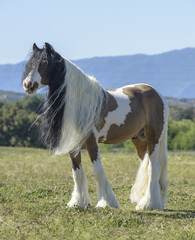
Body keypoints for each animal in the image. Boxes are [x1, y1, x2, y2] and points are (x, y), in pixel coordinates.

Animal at [22, 42, 169, 210]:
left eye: (45, 62)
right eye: (29, 63)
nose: (27, 85)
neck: (80, 103)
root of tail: (158, 94)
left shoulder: (91, 141)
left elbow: (98, 170)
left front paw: (107, 202)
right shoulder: (73, 145)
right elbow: (77, 173)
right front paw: (78, 202)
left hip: (154, 138)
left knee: (153, 168)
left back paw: (148, 204)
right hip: (139, 140)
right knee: (148, 166)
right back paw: (153, 201)